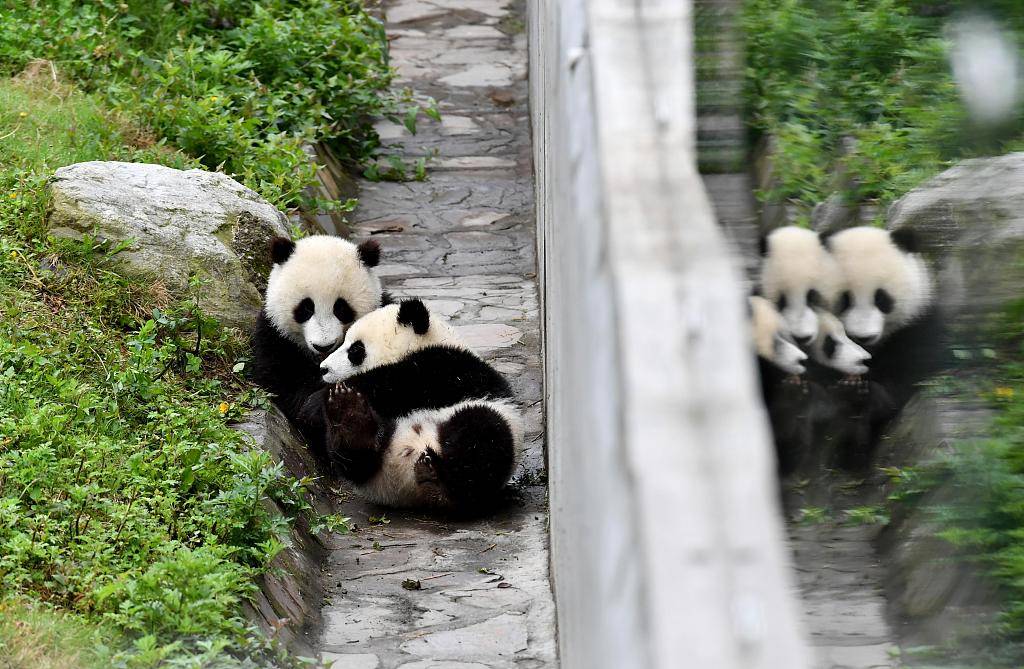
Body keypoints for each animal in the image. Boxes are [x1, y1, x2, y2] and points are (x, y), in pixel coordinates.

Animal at [315, 299, 520, 508]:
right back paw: (348, 414)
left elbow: (399, 384)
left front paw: (321, 397)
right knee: (353, 458)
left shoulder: (447, 368)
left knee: (480, 436)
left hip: (489, 422)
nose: (323, 369)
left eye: (356, 350)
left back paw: (437, 478)